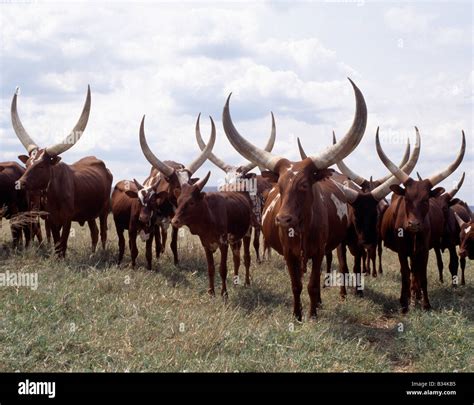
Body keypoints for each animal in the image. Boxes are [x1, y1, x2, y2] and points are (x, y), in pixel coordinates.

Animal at [10, 85, 113, 256]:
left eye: (41, 166)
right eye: (27, 164)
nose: (19, 184)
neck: (54, 193)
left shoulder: (67, 219)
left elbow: (63, 242)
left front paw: (62, 257)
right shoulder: (51, 220)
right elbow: (57, 241)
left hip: (104, 210)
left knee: (103, 232)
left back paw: (102, 253)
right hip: (90, 213)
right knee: (94, 232)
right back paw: (92, 254)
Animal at [110, 114, 216, 268]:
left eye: (191, 184)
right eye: (177, 187)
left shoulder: (175, 220)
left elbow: (173, 242)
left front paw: (176, 262)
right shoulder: (154, 222)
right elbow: (156, 241)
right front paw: (157, 258)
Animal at [221, 78, 366, 318]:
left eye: (305, 185)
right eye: (279, 186)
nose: (283, 219)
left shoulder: (318, 252)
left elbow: (313, 284)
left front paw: (312, 314)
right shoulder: (290, 254)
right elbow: (296, 284)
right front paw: (297, 315)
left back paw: (318, 303)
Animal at [378, 129, 466, 312]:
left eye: (426, 200)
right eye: (406, 199)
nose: (413, 224)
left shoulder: (425, 249)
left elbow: (423, 274)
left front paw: (425, 303)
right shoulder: (402, 251)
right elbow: (405, 274)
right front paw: (404, 304)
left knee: (417, 272)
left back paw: (416, 296)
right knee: (412, 272)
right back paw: (412, 296)